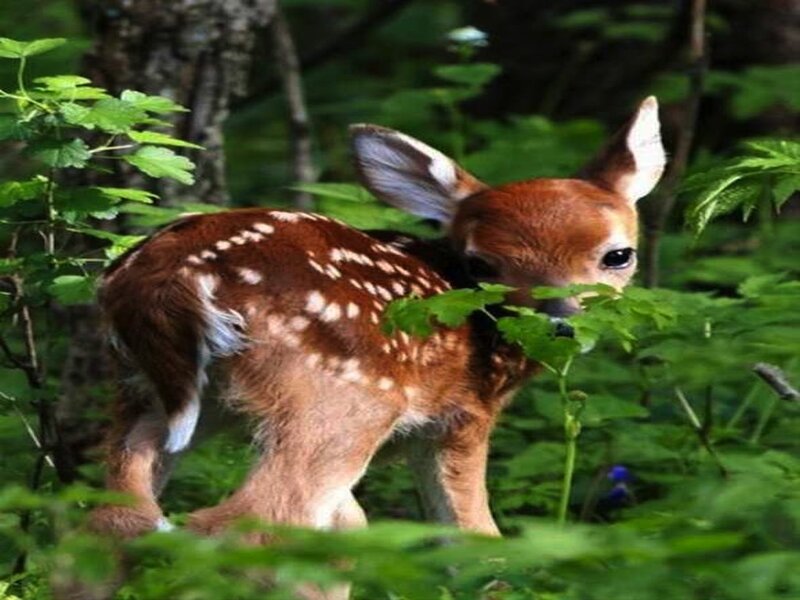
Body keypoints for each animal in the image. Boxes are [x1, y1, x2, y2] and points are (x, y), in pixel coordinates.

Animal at [88, 97, 664, 563]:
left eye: (618, 255)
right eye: (482, 265)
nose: (562, 323)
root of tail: (167, 280)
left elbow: (351, 525)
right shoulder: (461, 416)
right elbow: (474, 537)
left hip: (154, 395)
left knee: (115, 517)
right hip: (342, 398)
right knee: (250, 523)